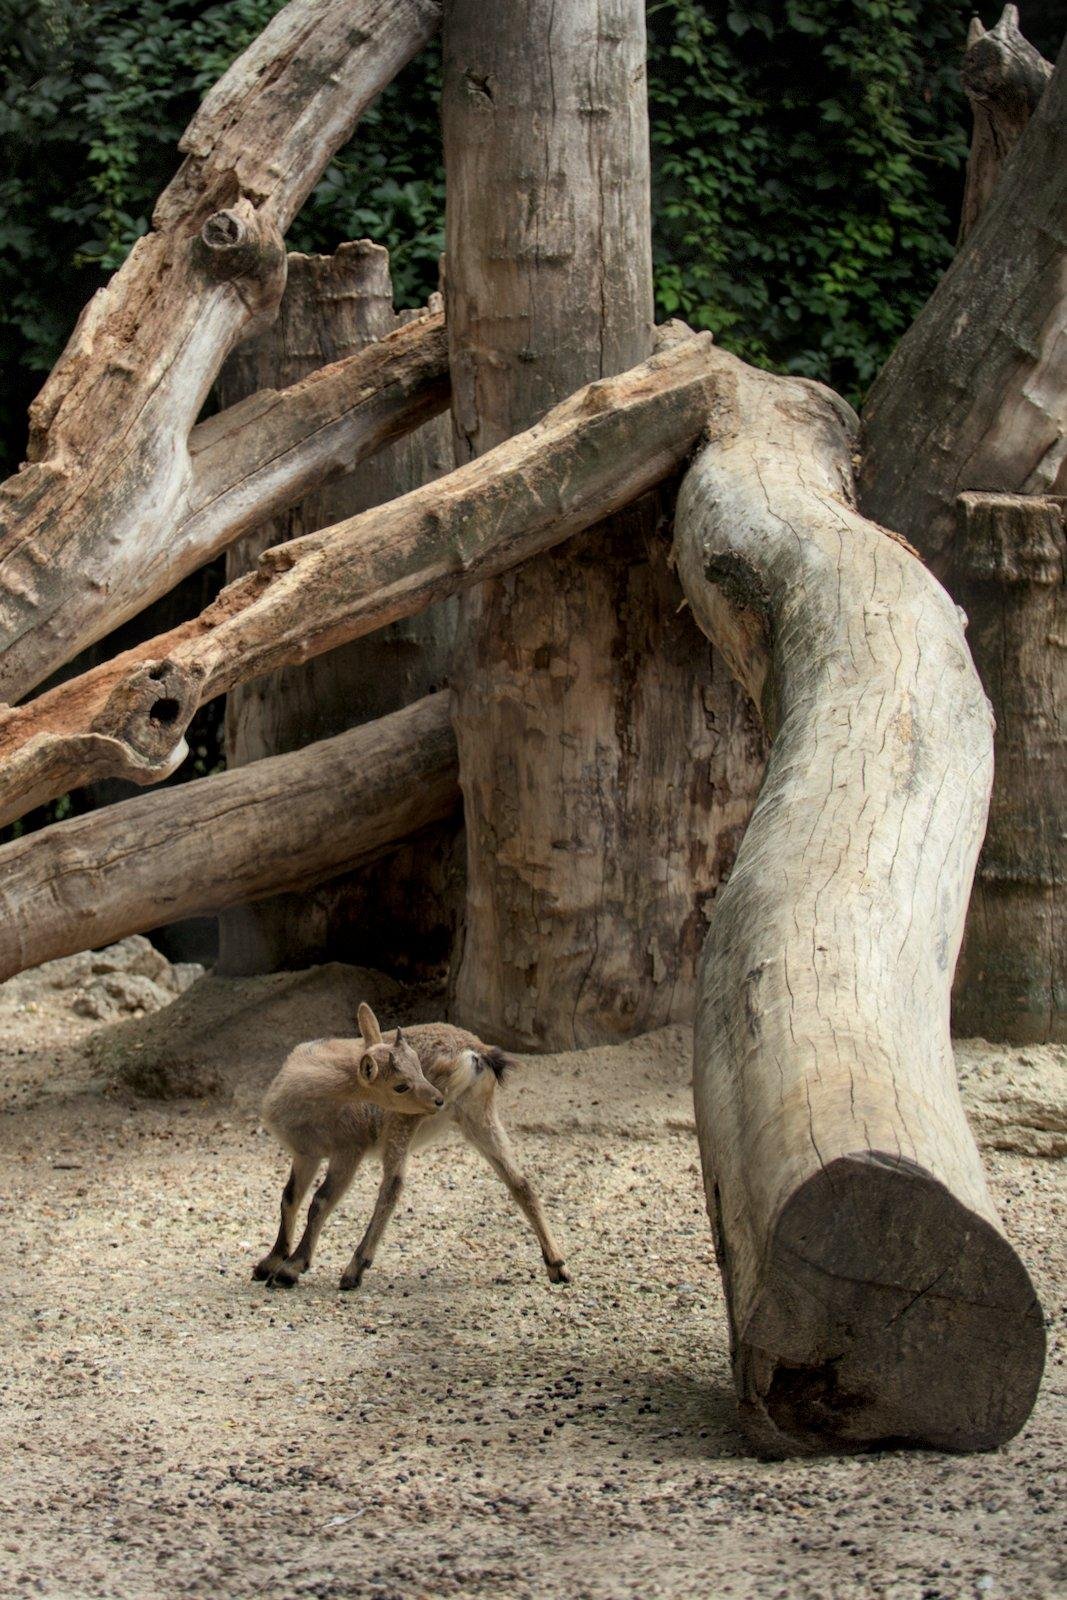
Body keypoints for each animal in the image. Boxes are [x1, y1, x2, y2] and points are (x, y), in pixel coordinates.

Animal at [254, 1001, 569, 1292]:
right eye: (400, 1084)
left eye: (418, 1067)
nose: (437, 1099)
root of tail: (475, 1053)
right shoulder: (306, 1154)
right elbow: (289, 1198)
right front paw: (268, 1261)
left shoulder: (348, 1149)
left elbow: (320, 1201)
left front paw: (289, 1269)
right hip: (477, 1115)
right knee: (520, 1182)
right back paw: (557, 1265)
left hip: (405, 1121)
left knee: (393, 1184)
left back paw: (354, 1270)